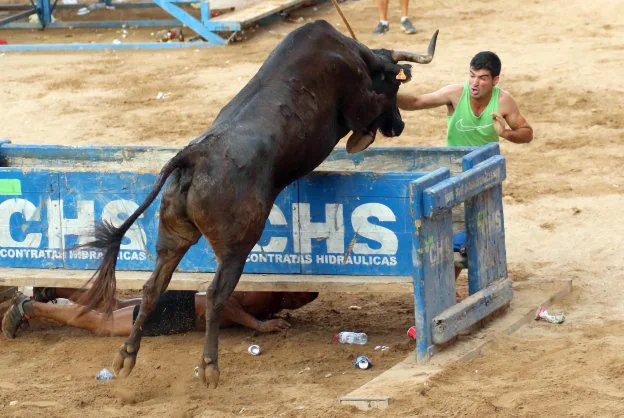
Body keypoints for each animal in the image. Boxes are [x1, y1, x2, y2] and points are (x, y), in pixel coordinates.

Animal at [80, 20, 436, 388]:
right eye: (395, 84)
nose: (398, 126)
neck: (351, 54)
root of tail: (194, 156)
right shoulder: (360, 97)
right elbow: (369, 110)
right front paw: (362, 137)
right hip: (237, 246)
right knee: (215, 295)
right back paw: (209, 366)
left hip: (173, 237)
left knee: (153, 288)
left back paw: (126, 356)